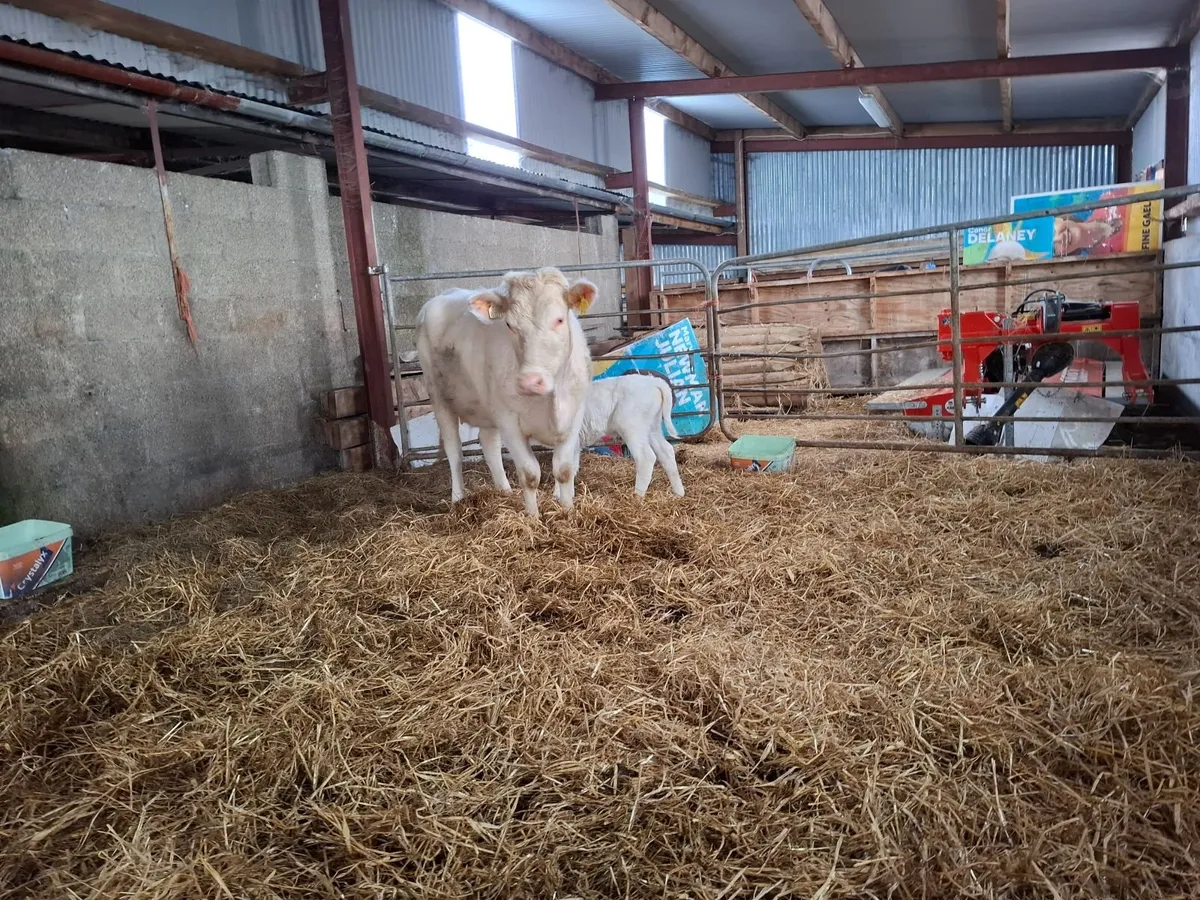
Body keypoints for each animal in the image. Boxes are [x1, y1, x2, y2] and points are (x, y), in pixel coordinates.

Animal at [415, 267, 596, 518]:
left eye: (559, 319)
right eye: (510, 325)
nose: (530, 381)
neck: (549, 402)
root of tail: (444, 294)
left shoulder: (573, 416)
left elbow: (564, 469)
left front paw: (567, 511)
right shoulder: (509, 422)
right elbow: (530, 474)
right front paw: (533, 518)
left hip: (487, 407)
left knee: (488, 443)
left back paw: (504, 491)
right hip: (440, 398)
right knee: (454, 451)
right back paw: (457, 499)